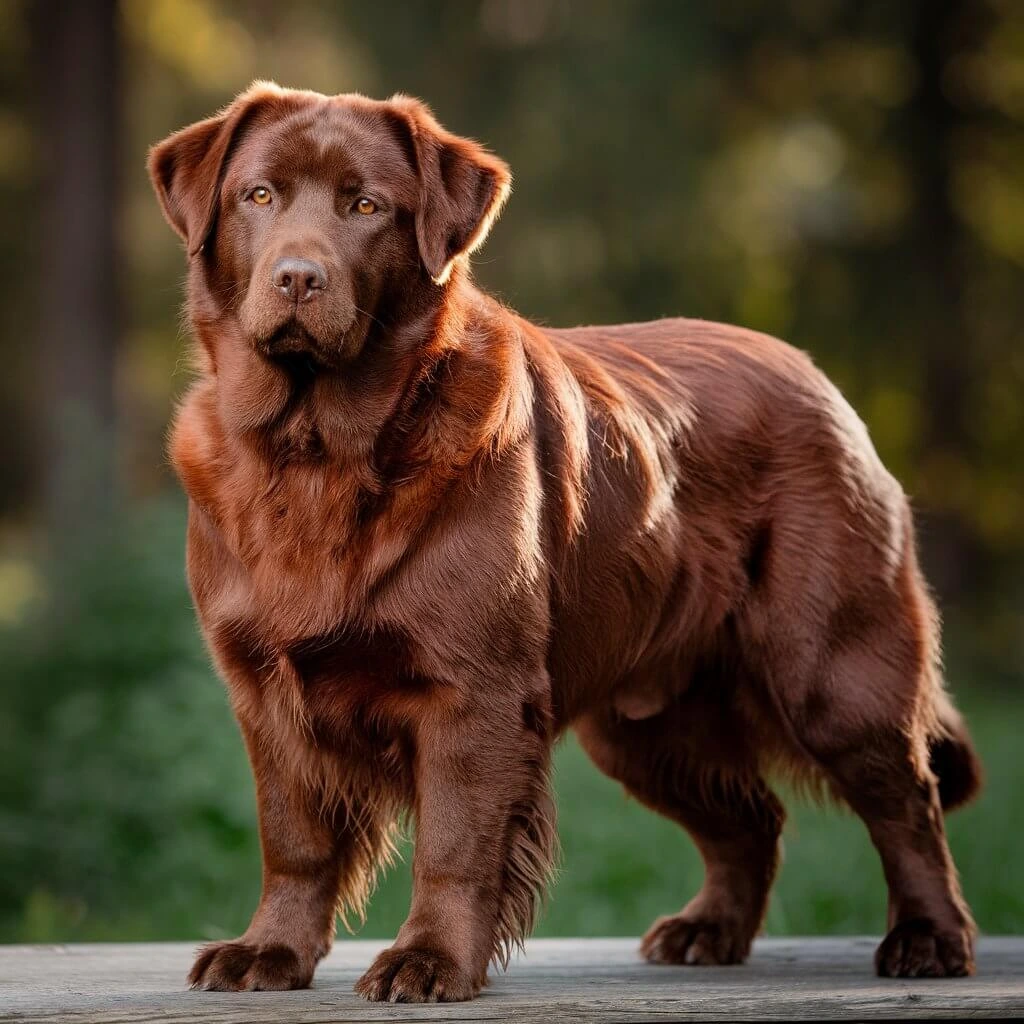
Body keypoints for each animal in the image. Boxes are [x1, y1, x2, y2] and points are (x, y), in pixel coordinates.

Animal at [148, 81, 978, 999]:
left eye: (365, 206)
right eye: (257, 196)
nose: (298, 276)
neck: (317, 455)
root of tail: (820, 379)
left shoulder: (473, 690)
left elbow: (455, 843)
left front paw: (429, 960)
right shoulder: (266, 690)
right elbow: (294, 838)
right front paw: (270, 952)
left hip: (834, 675)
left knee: (909, 807)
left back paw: (929, 938)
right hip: (648, 726)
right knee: (751, 820)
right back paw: (709, 930)